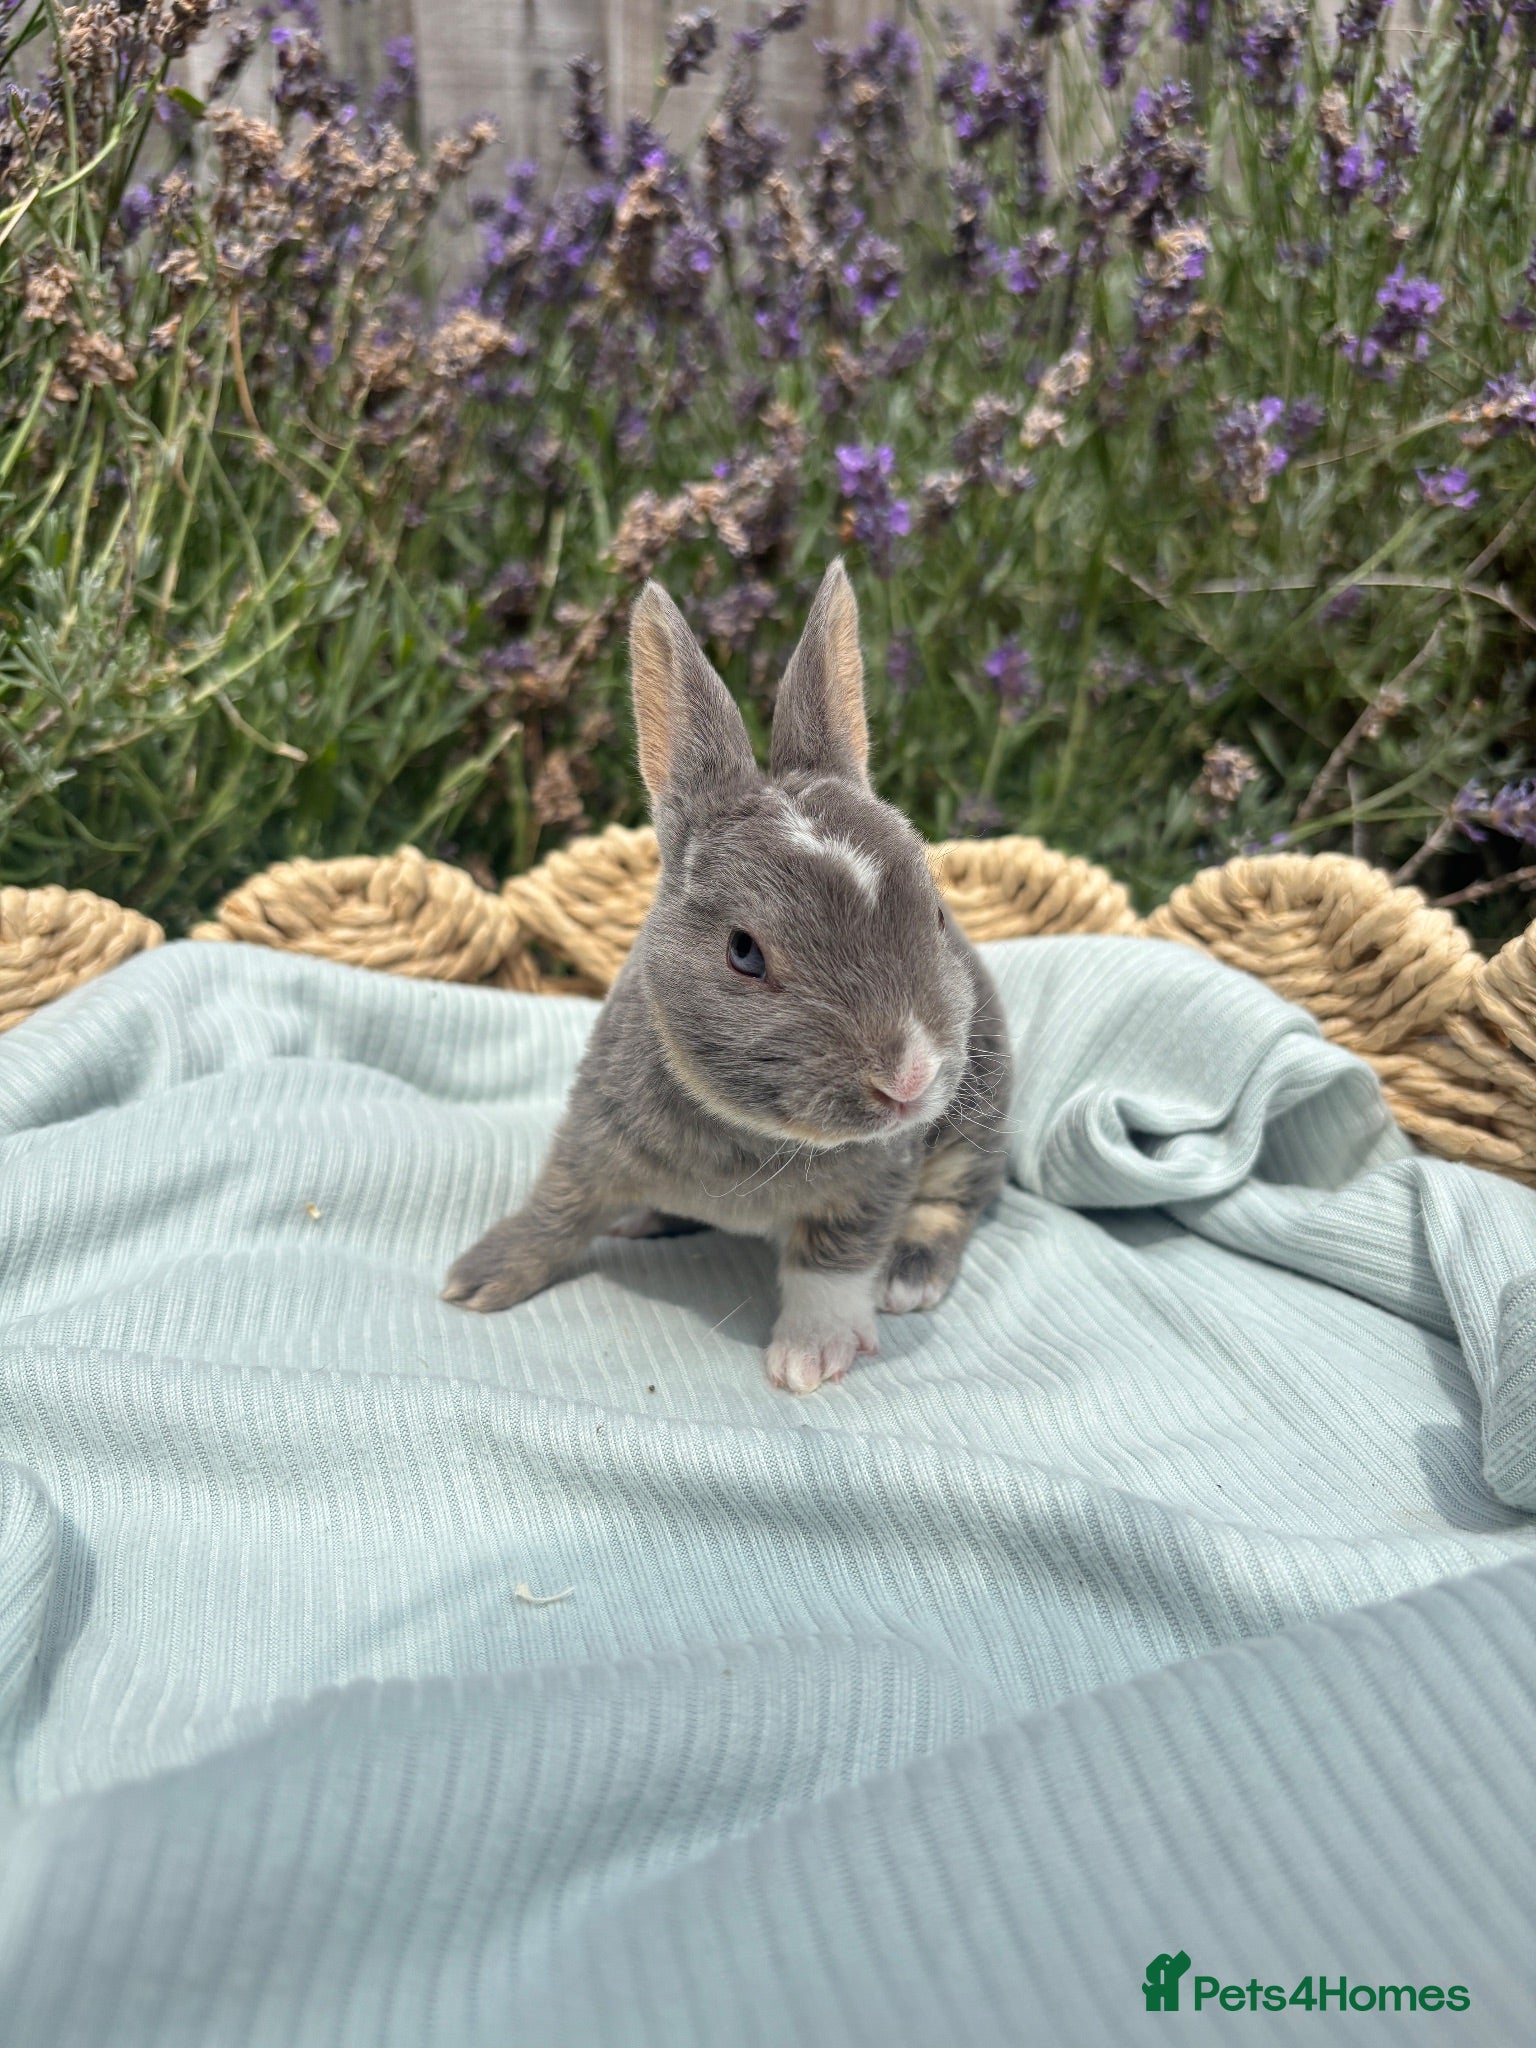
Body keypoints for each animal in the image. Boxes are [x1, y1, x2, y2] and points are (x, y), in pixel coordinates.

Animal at [442, 560, 1013, 1392]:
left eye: (936, 916)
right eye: (744, 953)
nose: (908, 1080)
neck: (758, 1136)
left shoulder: (876, 1181)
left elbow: (832, 1264)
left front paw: (811, 1357)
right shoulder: (590, 1138)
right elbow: (557, 1209)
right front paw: (479, 1279)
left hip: (976, 1126)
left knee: (954, 1202)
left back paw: (910, 1275)